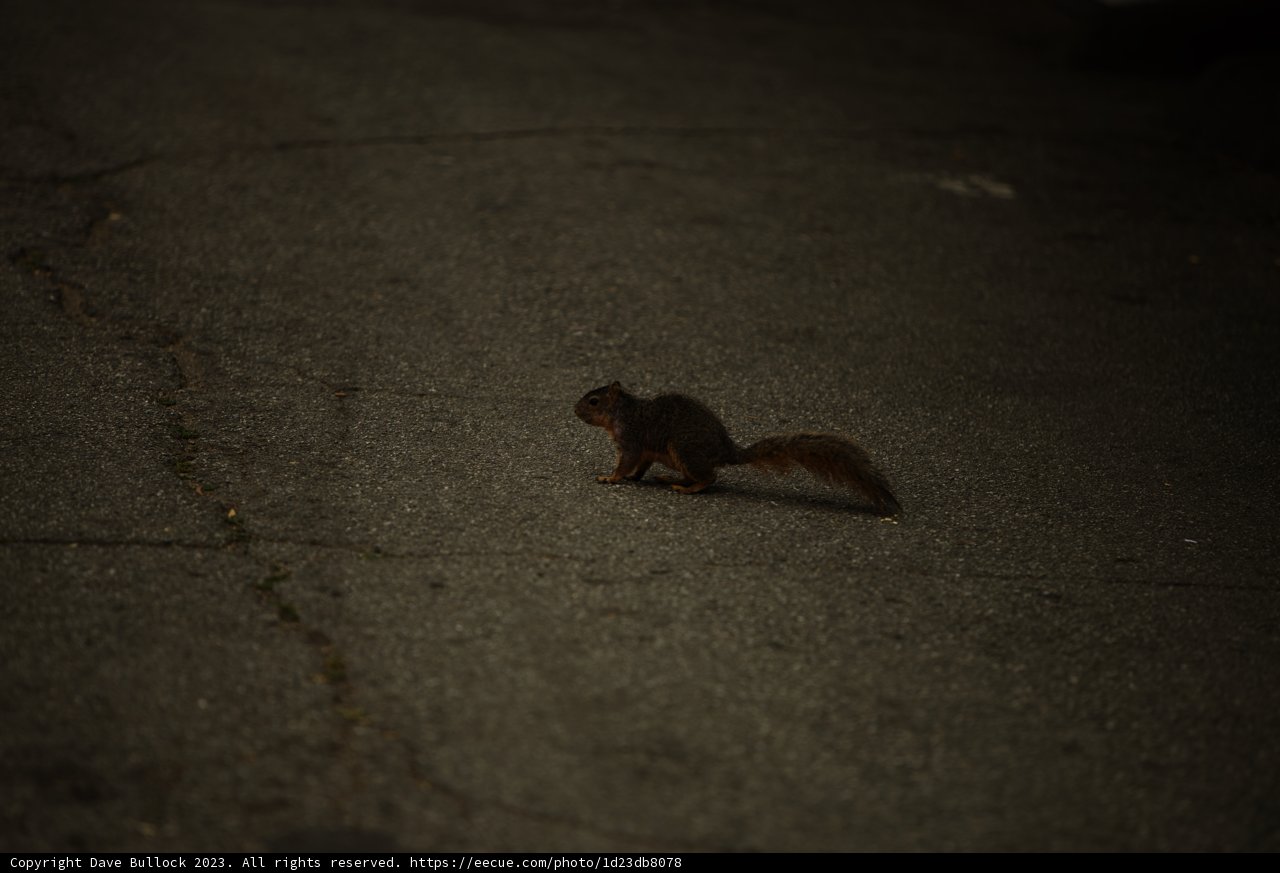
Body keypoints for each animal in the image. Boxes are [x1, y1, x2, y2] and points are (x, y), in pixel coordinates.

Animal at [574, 381, 901, 516]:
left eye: (593, 401)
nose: (574, 409)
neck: (621, 412)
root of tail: (726, 451)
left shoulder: (631, 439)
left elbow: (625, 462)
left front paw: (611, 478)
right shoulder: (643, 450)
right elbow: (640, 466)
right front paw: (632, 478)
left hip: (685, 449)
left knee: (709, 477)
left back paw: (687, 489)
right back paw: (673, 480)